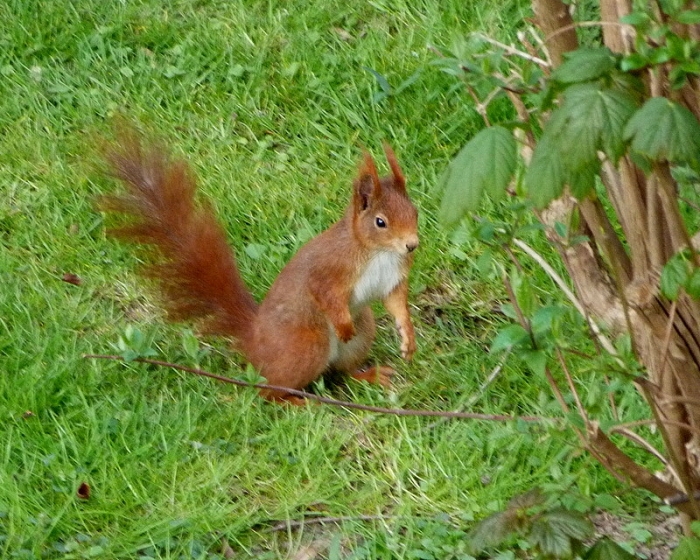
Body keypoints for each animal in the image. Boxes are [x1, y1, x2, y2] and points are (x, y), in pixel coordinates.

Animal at [102, 132, 419, 404]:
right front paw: (343, 324)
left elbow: (396, 302)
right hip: (306, 345)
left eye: (414, 211)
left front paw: (407, 336)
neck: (378, 252)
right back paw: (298, 402)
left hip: (361, 334)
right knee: (267, 392)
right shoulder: (330, 268)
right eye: (381, 222)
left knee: (344, 371)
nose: (412, 245)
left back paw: (370, 375)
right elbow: (324, 293)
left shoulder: (392, 276)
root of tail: (255, 341)